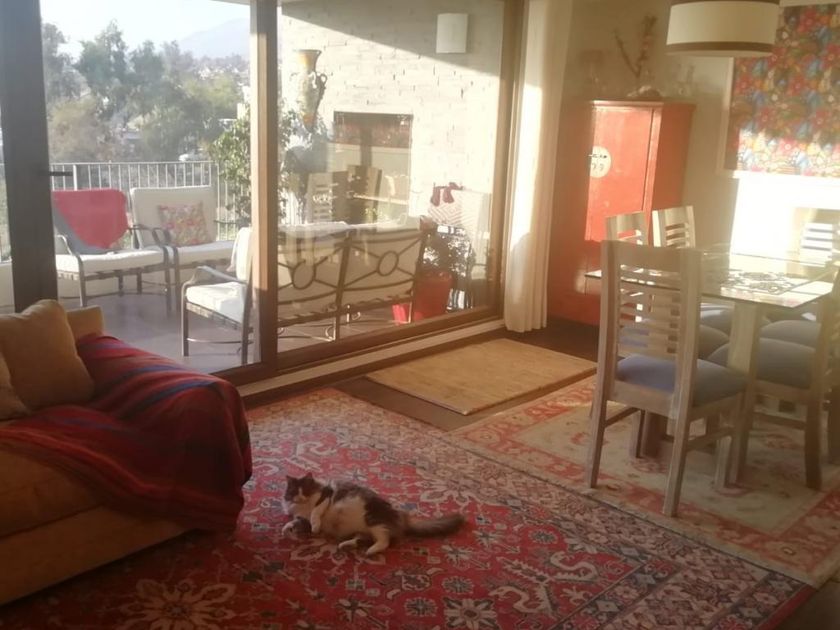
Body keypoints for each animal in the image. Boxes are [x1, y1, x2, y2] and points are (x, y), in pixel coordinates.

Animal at [282, 472, 465, 556]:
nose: (299, 497)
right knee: (363, 539)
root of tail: (400, 516)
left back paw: (370, 551)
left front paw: (315, 525)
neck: (303, 506)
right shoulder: (301, 519)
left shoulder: (326, 495)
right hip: (365, 529)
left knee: (384, 541)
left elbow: (316, 512)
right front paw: (286, 529)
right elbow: (294, 522)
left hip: (373, 521)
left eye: (304, 490)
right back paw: (346, 545)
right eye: (293, 492)